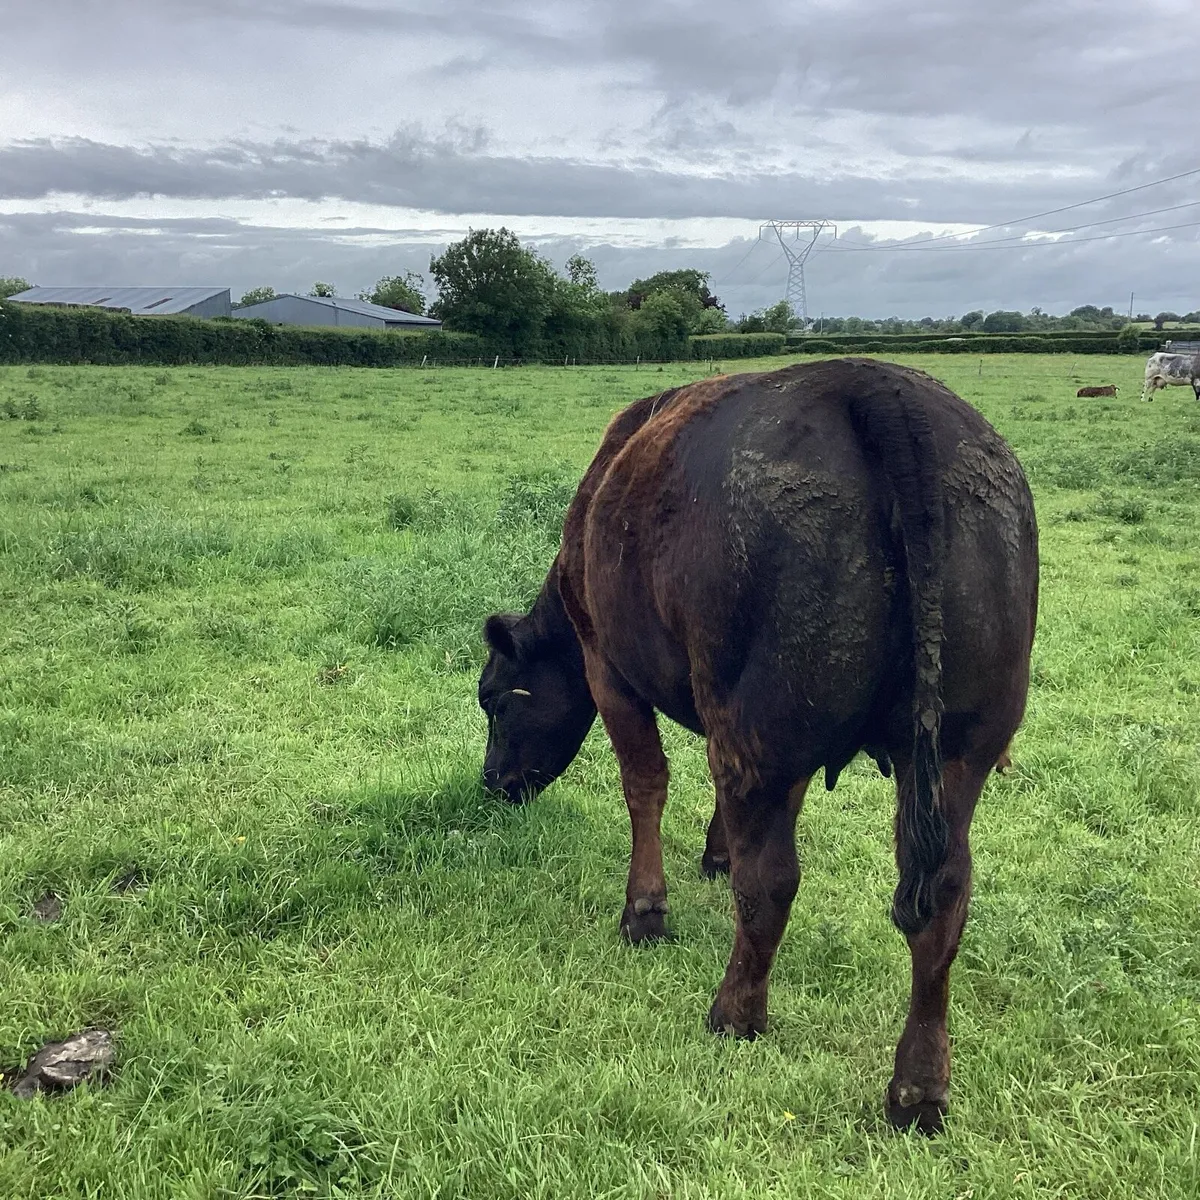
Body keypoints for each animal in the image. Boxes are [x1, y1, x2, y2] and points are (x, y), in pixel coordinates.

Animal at [478, 358, 1039, 1134]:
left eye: (494, 700)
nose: (491, 783)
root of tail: (880, 390)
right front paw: (716, 853)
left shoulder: (608, 667)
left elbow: (645, 784)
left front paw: (645, 913)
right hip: (958, 743)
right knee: (944, 896)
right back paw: (918, 1088)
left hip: (757, 715)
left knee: (772, 880)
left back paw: (735, 1013)